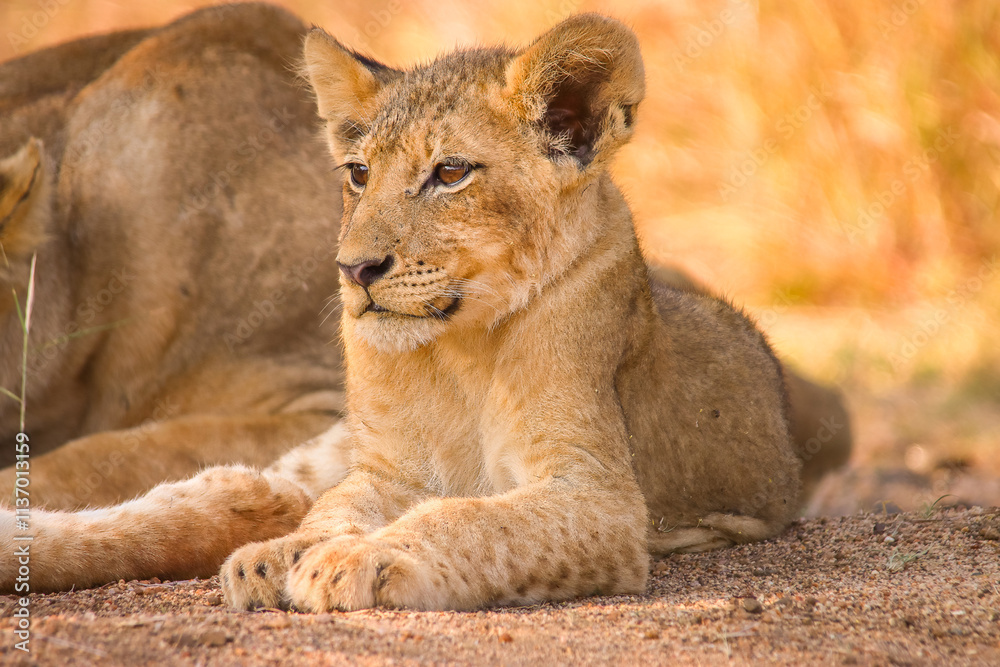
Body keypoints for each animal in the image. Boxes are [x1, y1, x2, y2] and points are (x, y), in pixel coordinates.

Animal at [0, 7, 850, 600]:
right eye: (357, 173)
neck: (460, 349)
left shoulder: (599, 496)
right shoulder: (384, 463)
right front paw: (295, 553)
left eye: (449, 173)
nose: (354, 268)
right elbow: (339, 507)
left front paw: (359, 559)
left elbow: (472, 515)